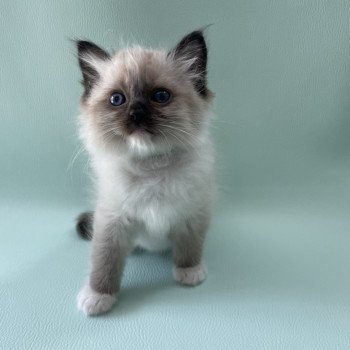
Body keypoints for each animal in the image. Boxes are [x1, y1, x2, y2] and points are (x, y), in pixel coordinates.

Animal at [75, 28, 215, 316]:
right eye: (117, 100)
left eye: (160, 96)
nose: (136, 112)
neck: (152, 167)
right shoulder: (112, 220)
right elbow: (105, 261)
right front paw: (98, 296)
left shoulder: (193, 213)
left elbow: (190, 246)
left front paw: (189, 272)